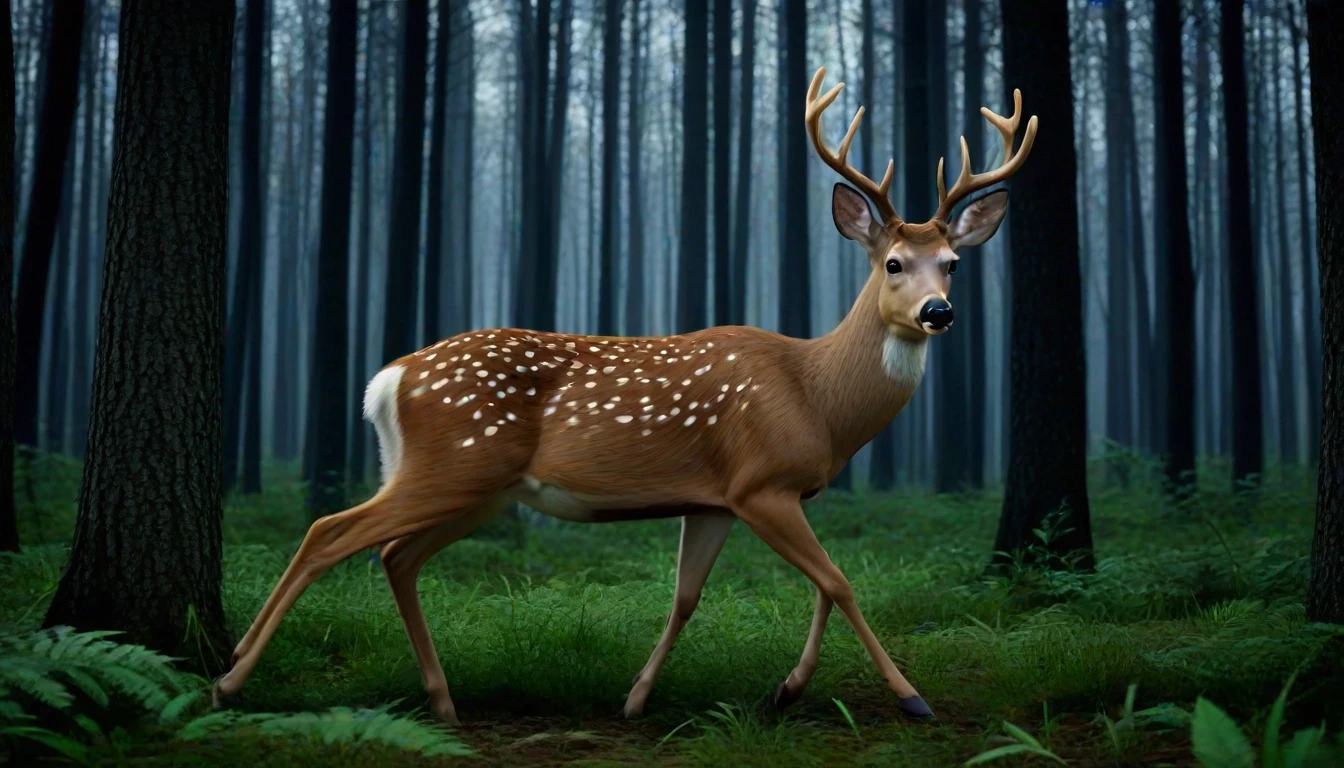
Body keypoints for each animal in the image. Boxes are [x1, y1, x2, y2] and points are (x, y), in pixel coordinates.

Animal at [212, 66, 1037, 726]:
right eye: (893, 263)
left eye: (953, 263)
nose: (939, 312)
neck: (817, 399)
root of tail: (390, 381)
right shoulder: (761, 482)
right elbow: (839, 580)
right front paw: (908, 696)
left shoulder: (714, 499)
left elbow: (692, 597)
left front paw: (668, 696)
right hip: (454, 463)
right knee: (330, 532)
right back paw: (230, 679)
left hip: (476, 487)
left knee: (394, 556)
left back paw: (440, 700)